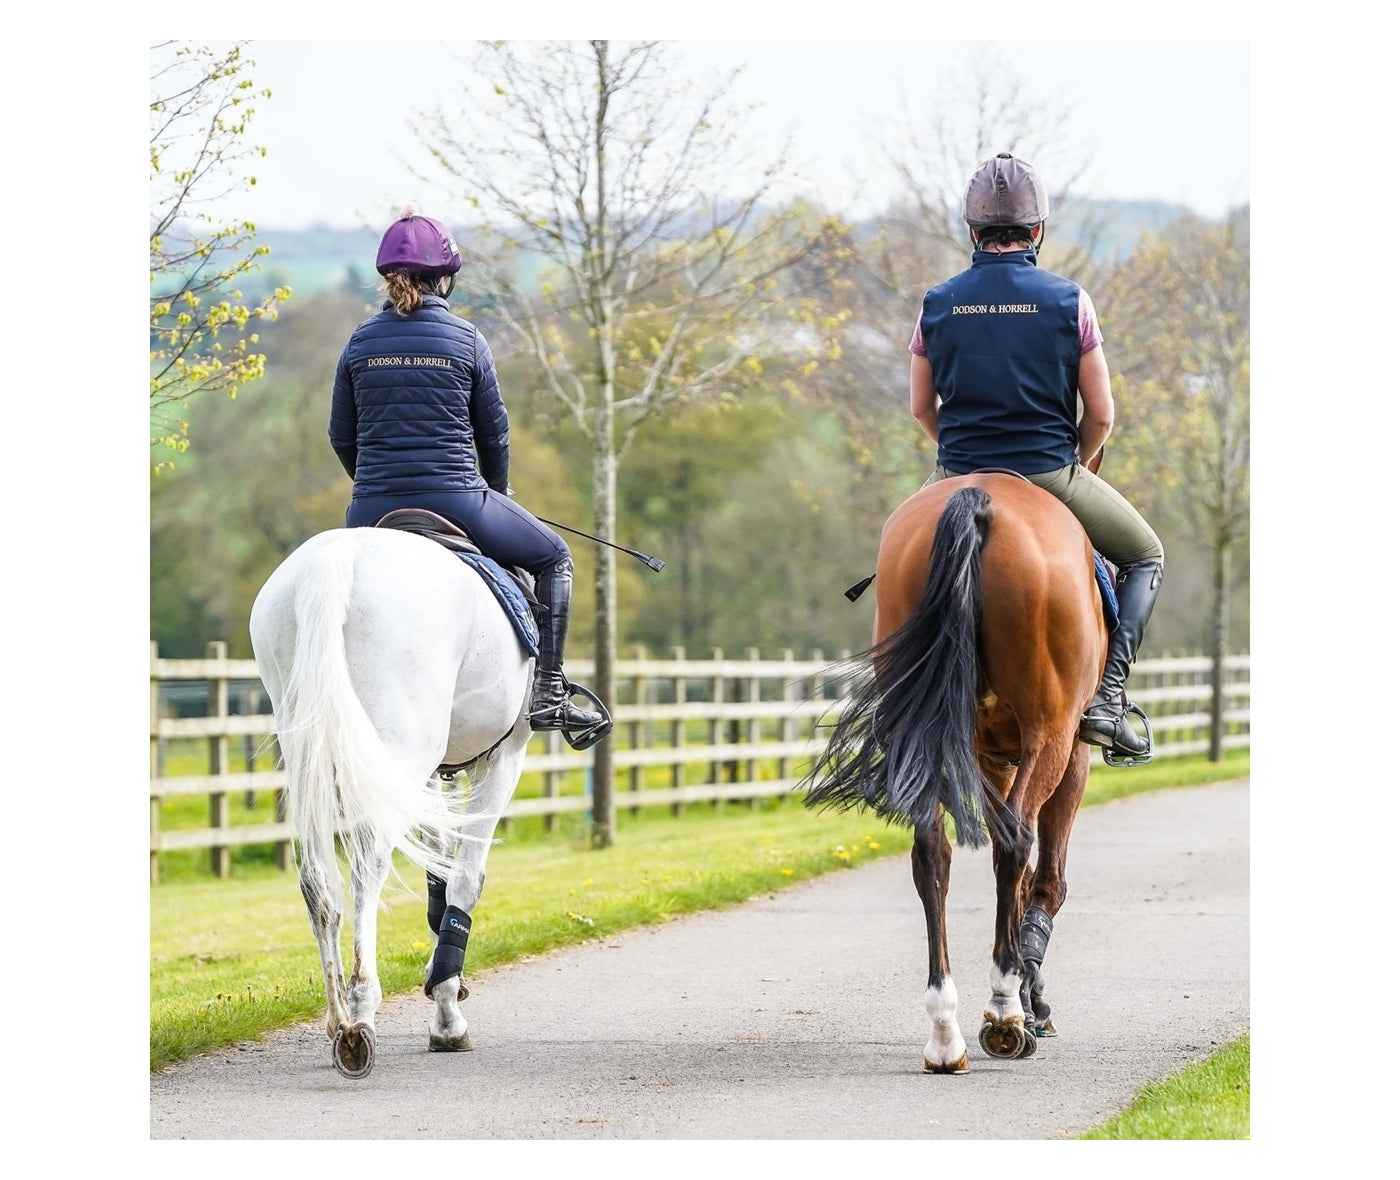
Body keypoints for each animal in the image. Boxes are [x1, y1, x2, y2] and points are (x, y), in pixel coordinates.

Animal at [248, 521, 536, 1079]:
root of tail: (339, 556)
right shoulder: (501, 760)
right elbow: (465, 879)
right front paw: (447, 1016)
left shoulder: (431, 775)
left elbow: (439, 873)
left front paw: (445, 986)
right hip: (400, 748)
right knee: (367, 867)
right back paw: (360, 1017)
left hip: (312, 754)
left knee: (318, 883)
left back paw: (338, 1017)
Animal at [802, 471, 1107, 1073]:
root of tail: (979, 497)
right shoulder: (1070, 752)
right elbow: (1046, 876)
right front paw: (1033, 999)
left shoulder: (989, 753)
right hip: (1052, 732)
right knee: (1014, 842)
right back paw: (1006, 1010)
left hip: (935, 731)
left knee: (932, 853)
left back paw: (946, 1031)